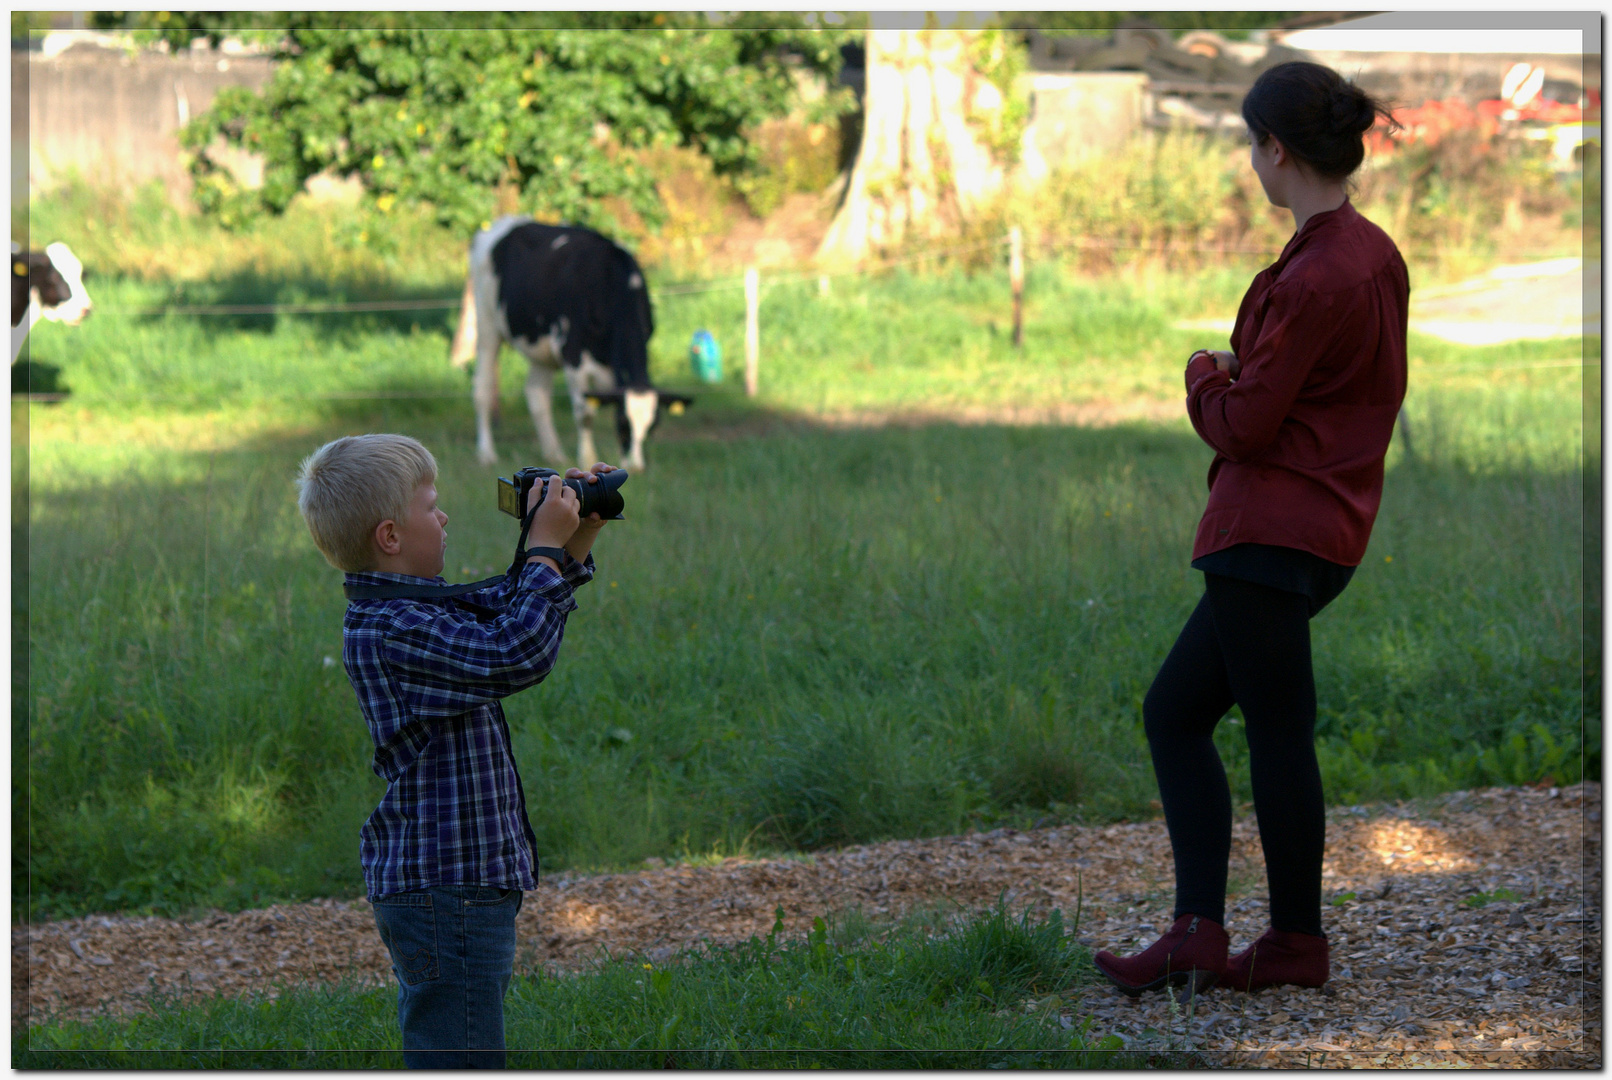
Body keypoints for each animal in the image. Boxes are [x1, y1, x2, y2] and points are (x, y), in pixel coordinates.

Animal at [448, 217, 686, 470]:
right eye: (623, 424)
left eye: (652, 427)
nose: (636, 467)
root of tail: (504, 222)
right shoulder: (573, 354)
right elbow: (585, 413)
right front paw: (587, 459)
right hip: (487, 324)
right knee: (482, 387)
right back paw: (486, 454)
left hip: (540, 349)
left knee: (536, 394)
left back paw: (554, 454)